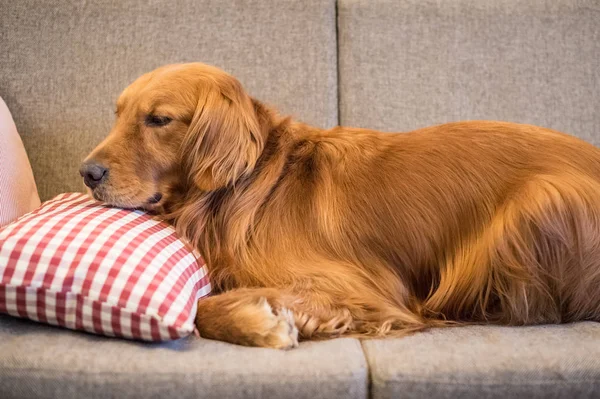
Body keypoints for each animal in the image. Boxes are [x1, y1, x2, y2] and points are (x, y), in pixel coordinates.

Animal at [81, 63, 600, 350]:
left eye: (158, 119)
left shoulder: (355, 289)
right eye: (118, 114)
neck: (245, 185)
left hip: (538, 201)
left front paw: (261, 323)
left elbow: (205, 308)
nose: (87, 172)